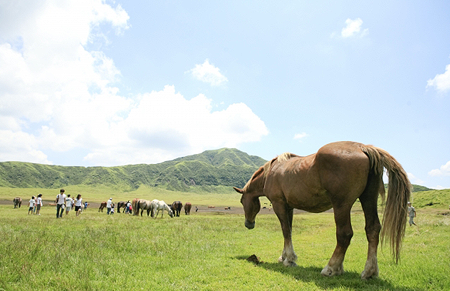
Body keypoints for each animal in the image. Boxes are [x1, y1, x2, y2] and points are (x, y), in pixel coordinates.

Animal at [236, 142, 412, 280]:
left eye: (242, 201)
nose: (248, 224)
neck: (271, 173)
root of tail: (363, 147)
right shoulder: (289, 207)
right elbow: (289, 232)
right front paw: (284, 256)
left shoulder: (278, 204)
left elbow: (285, 230)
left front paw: (290, 259)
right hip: (368, 198)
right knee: (372, 229)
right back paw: (369, 271)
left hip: (341, 205)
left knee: (344, 234)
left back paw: (331, 268)